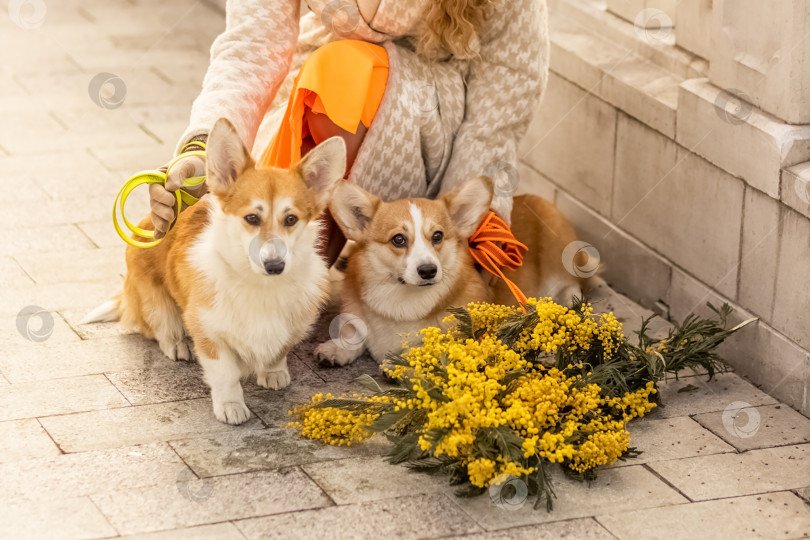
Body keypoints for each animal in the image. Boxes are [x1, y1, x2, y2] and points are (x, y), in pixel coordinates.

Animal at [84, 119, 344, 426]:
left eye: (291, 219)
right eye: (252, 218)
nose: (275, 266)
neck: (260, 285)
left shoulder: (294, 323)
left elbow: (278, 350)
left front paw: (273, 373)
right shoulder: (209, 332)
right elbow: (225, 373)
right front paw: (231, 406)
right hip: (154, 301)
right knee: (161, 325)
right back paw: (177, 343)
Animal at [316, 175, 588, 364]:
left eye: (437, 236)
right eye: (398, 239)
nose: (428, 270)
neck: (402, 304)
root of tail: (539, 199)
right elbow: (354, 331)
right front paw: (336, 348)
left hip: (560, 259)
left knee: (573, 285)